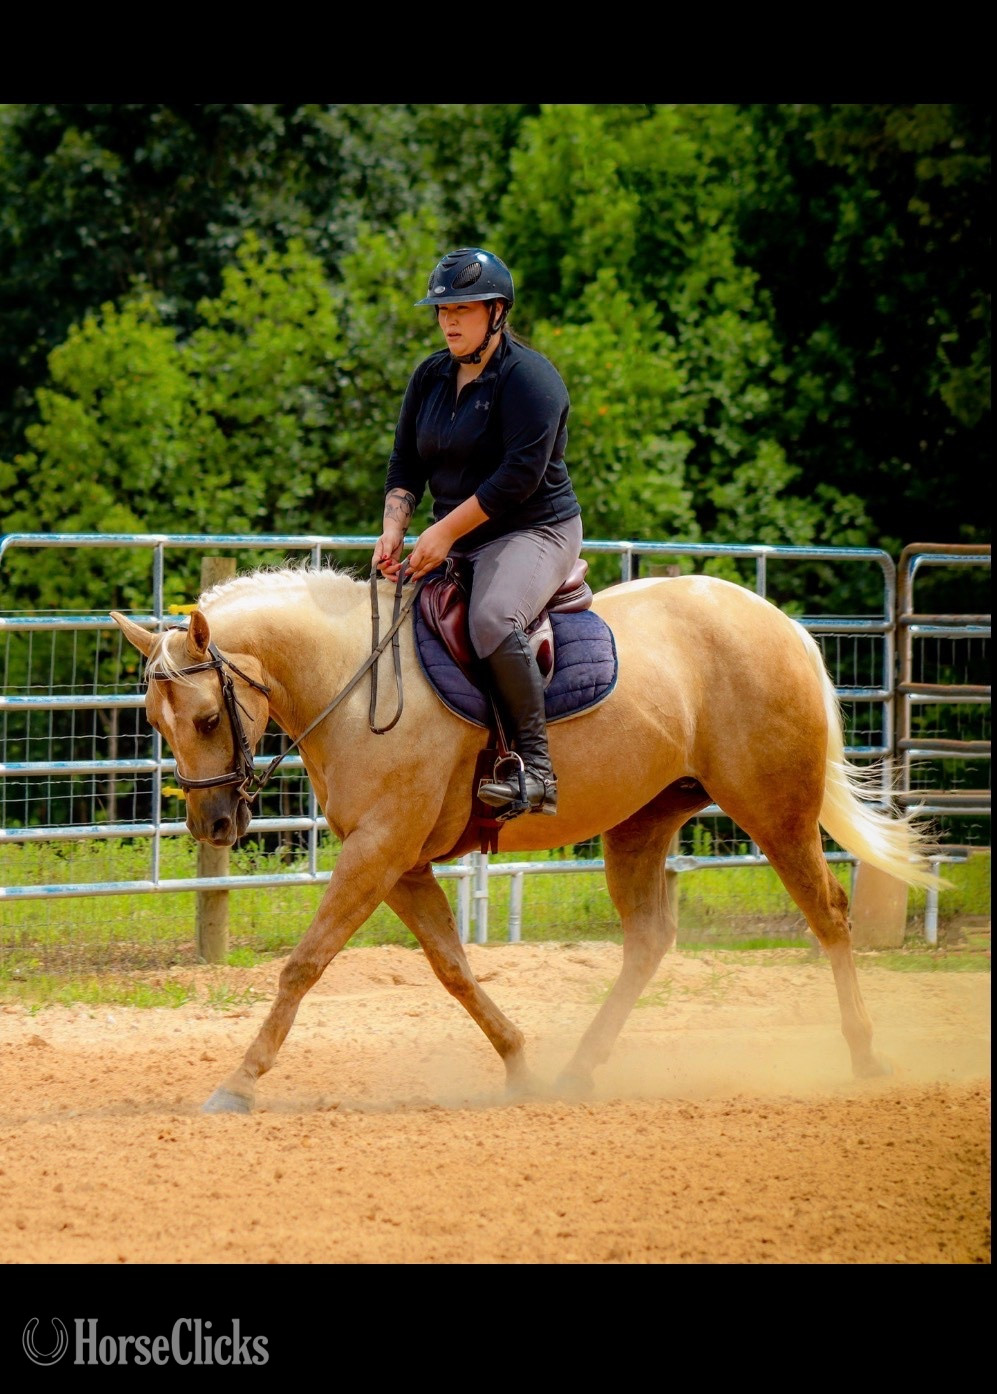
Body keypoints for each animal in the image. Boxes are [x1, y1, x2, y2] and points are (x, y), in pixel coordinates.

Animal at [111, 564, 944, 1115]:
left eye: (208, 718)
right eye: (156, 722)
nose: (212, 826)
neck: (355, 681)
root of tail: (780, 625)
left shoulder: (377, 850)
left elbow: (303, 965)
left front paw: (238, 1082)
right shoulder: (400, 865)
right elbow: (452, 969)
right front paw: (518, 1063)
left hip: (774, 811)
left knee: (827, 915)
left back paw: (864, 1054)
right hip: (642, 825)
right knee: (648, 941)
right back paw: (579, 1069)